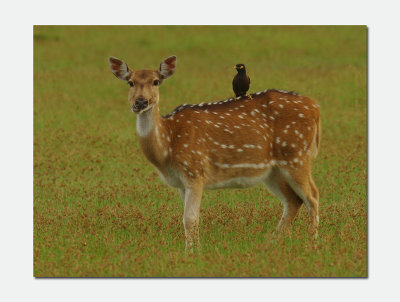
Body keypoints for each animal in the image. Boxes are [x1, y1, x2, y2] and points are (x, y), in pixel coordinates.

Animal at [108, 55, 320, 251]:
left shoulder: (195, 171)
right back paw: (272, 241)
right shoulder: (180, 183)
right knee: (293, 200)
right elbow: (190, 219)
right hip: (272, 170)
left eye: (156, 81)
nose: (140, 102)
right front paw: (196, 249)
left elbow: (190, 219)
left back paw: (312, 241)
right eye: (130, 82)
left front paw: (191, 253)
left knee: (312, 195)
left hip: (296, 154)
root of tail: (315, 107)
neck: (168, 145)